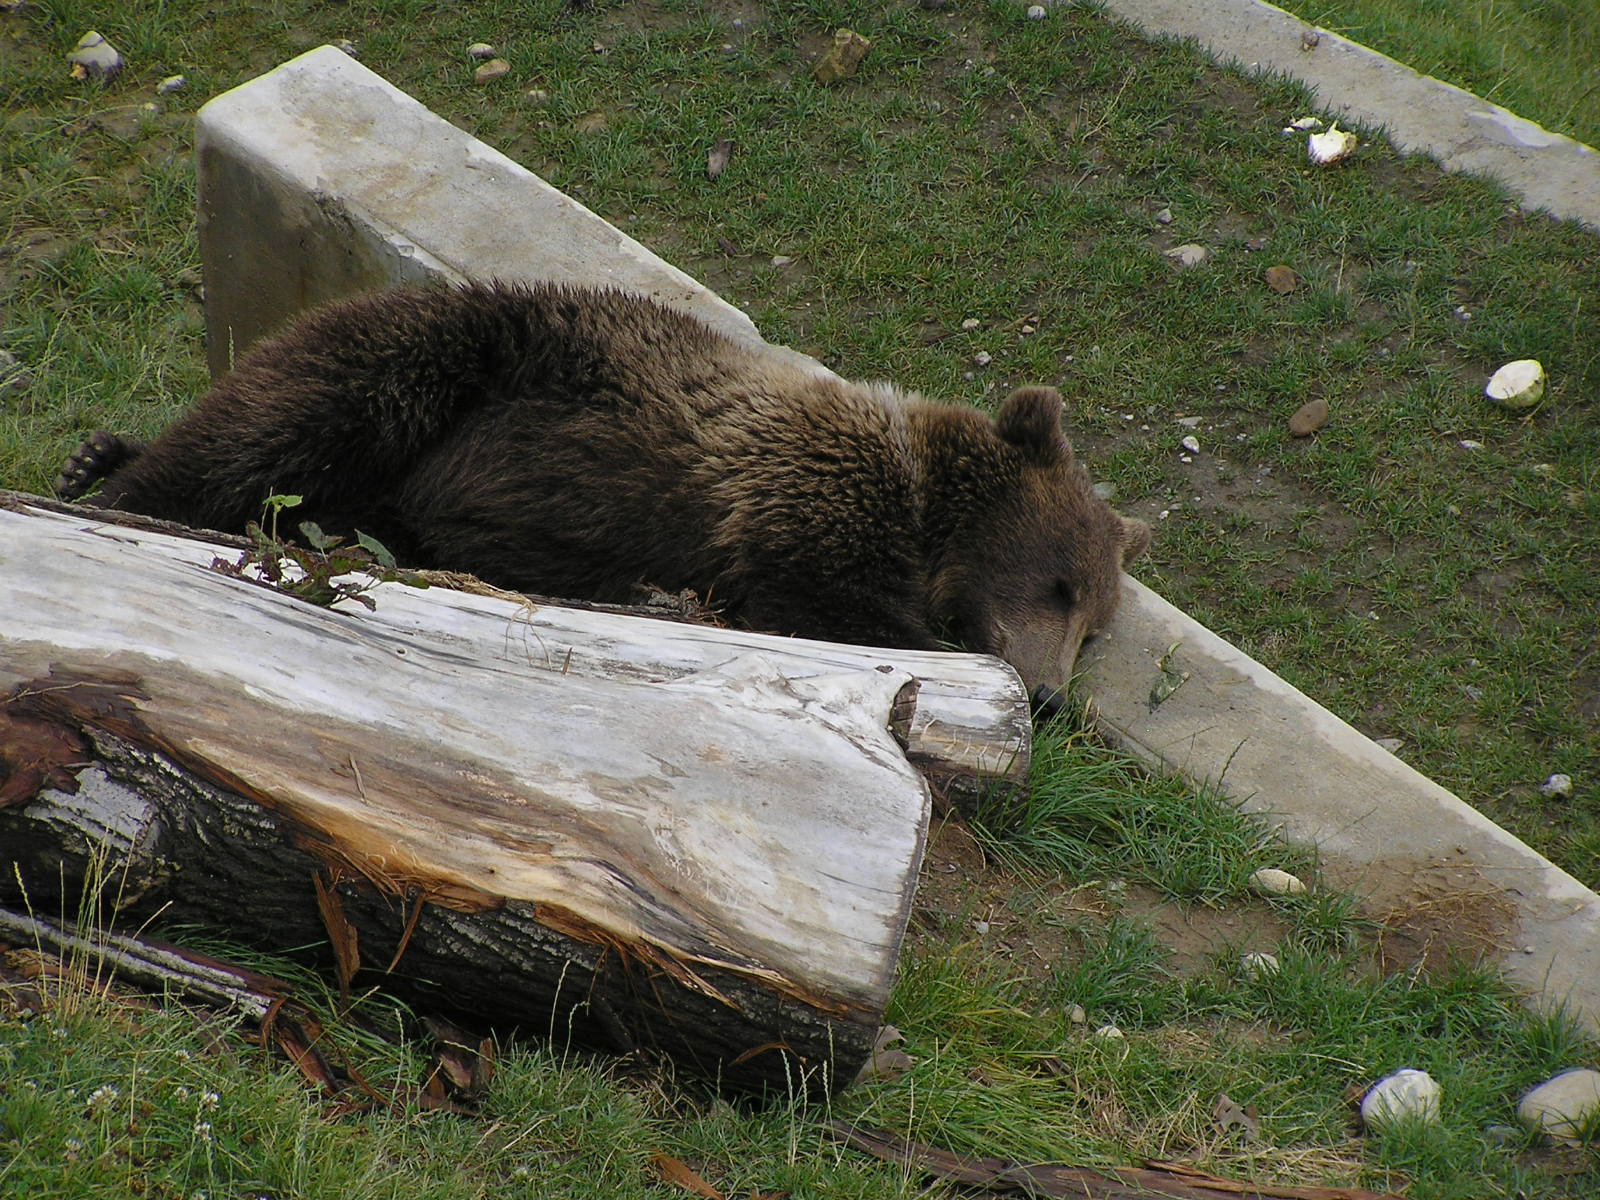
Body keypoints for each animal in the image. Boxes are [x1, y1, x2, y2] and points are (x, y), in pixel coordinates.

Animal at [56, 281, 1145, 713]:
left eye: (1094, 626)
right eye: (1058, 586)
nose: (1049, 694)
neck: (925, 511)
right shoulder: (798, 487)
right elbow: (821, 596)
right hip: (461, 363)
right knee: (286, 417)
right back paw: (108, 482)